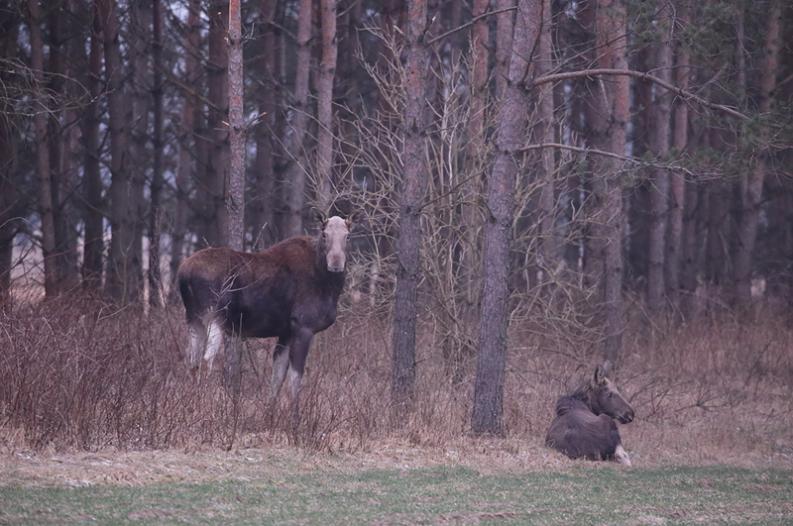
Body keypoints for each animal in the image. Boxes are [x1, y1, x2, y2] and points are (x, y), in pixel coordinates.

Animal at [179, 216, 352, 420]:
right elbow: (295, 376)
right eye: (324, 234)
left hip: (193, 318)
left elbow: (277, 375)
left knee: (192, 361)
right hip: (214, 315)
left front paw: (269, 415)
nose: (336, 264)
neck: (329, 286)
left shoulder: (286, 332)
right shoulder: (303, 326)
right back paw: (205, 408)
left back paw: (191, 406)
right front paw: (295, 418)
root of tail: (184, 274)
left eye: (347, 236)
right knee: (207, 360)